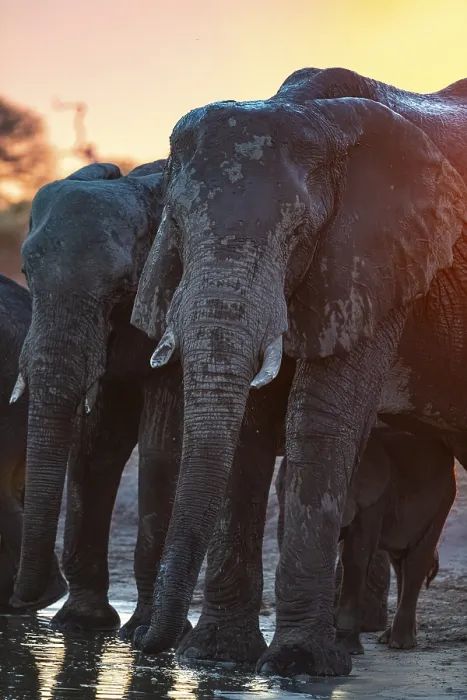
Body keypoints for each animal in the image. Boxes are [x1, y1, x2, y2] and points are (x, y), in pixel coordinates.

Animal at [8, 160, 188, 636]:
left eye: (123, 285)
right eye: (26, 274)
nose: (22, 601)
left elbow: (163, 445)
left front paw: (138, 632)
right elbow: (95, 446)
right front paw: (80, 625)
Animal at [276, 427, 456, 655]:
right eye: (278, 489)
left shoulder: (376, 499)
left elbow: (356, 555)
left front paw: (349, 649)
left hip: (445, 498)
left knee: (416, 561)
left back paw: (400, 644)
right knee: (400, 562)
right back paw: (391, 638)